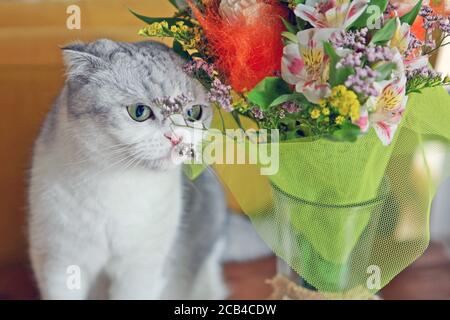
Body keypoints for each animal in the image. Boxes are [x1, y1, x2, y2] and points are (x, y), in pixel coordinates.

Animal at [27, 40, 229, 300]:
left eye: (193, 113)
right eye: (139, 112)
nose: (176, 138)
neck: (118, 185)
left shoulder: (141, 269)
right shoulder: (59, 260)